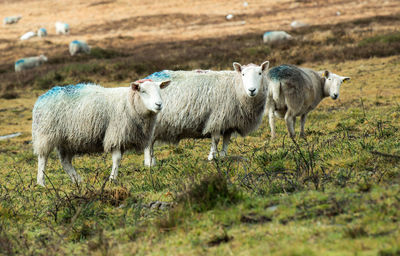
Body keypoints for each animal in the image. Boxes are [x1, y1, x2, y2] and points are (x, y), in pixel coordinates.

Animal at [32, 80, 170, 186]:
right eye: (143, 91)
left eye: (159, 90)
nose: (159, 104)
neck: (130, 104)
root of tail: (44, 96)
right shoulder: (115, 134)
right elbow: (117, 159)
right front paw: (112, 179)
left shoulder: (122, 137)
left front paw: (112, 178)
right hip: (46, 134)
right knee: (43, 158)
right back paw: (41, 183)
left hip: (67, 140)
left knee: (65, 162)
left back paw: (77, 180)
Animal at [142, 61, 270, 167]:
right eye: (243, 74)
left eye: (260, 73)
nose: (252, 90)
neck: (236, 86)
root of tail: (148, 78)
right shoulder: (217, 118)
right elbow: (216, 140)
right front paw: (212, 157)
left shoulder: (228, 122)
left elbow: (226, 141)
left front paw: (223, 156)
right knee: (148, 144)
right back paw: (150, 163)